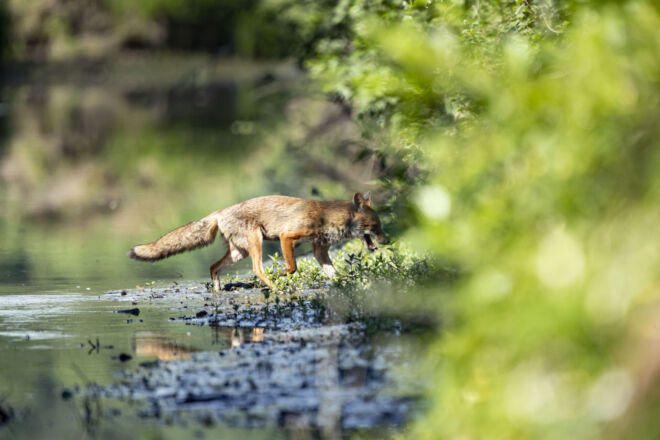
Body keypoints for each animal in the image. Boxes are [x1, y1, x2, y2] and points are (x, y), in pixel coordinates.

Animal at [128, 192, 389, 292]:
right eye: (375, 226)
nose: (387, 240)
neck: (327, 219)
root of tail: (220, 211)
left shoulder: (319, 251)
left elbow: (334, 274)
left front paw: (346, 284)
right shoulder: (287, 236)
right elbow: (292, 267)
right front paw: (283, 276)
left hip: (239, 253)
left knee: (213, 267)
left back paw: (218, 290)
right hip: (256, 243)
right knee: (256, 269)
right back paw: (272, 285)